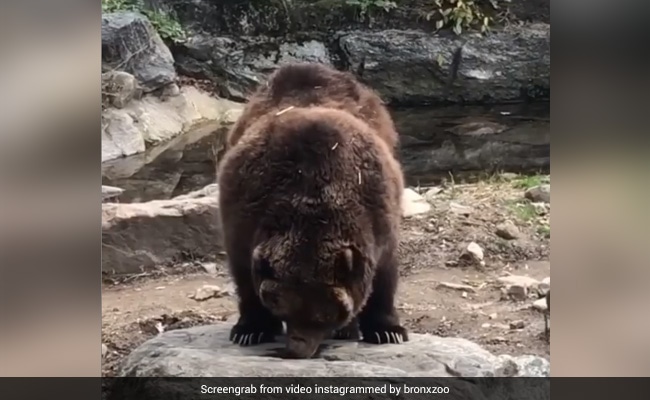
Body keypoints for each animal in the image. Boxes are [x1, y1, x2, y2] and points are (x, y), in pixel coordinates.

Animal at [217, 62, 407, 359]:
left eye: (323, 316)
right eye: (280, 306)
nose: (298, 349)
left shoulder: (379, 212)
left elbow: (384, 278)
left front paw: (387, 330)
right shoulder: (243, 213)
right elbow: (245, 278)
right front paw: (250, 329)